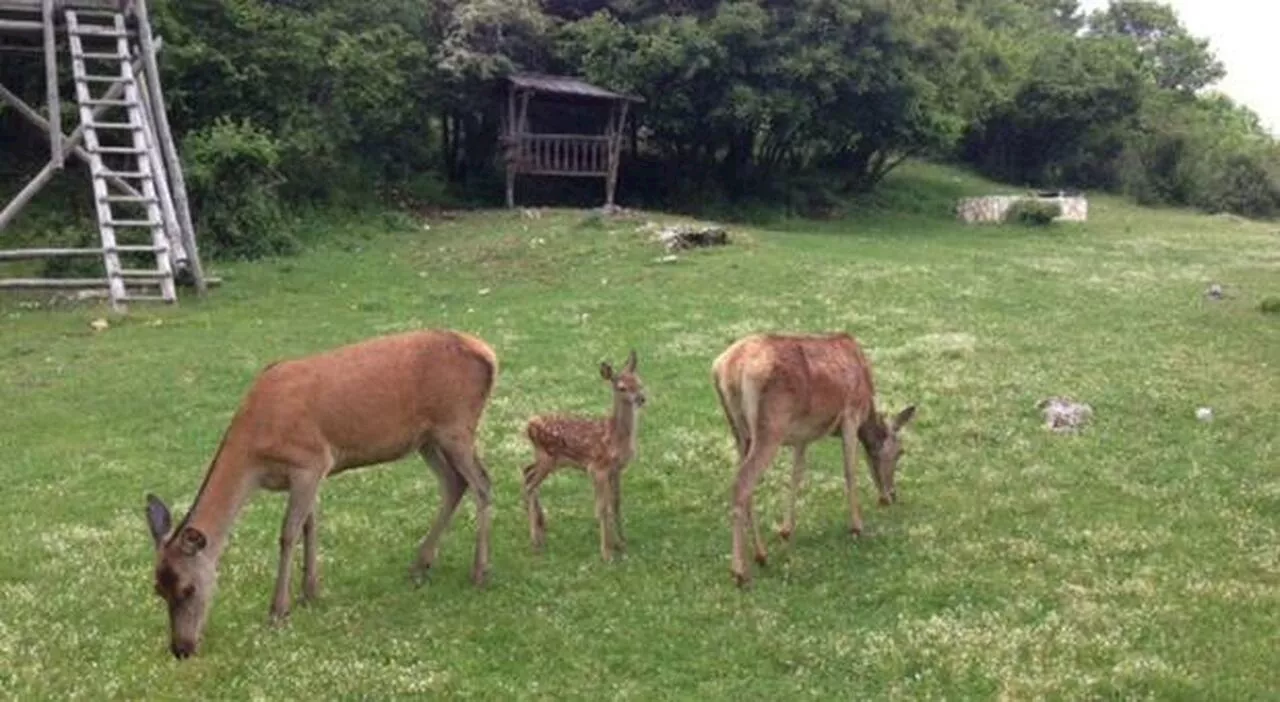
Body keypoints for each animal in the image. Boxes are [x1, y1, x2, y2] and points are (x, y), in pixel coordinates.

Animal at [142, 327, 496, 655]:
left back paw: (479, 572)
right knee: (455, 483)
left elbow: (288, 533)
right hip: (428, 439)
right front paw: (310, 592)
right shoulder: (310, 474)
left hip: (456, 425)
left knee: (482, 483)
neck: (255, 454)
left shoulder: (310, 461)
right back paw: (420, 565)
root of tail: (488, 353)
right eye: (158, 589)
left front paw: (278, 610)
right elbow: (310, 525)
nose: (181, 649)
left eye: (188, 588)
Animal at [519, 353, 645, 561]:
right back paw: (535, 540)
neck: (615, 436)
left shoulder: (616, 469)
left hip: (548, 459)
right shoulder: (597, 468)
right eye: (622, 387)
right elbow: (602, 508)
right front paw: (606, 552)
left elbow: (616, 503)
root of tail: (528, 425)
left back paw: (541, 525)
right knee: (530, 485)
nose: (641, 398)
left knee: (526, 471)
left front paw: (621, 542)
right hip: (547, 458)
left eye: (640, 382)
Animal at [711, 335, 911, 586]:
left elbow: (796, 475)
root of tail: (727, 367)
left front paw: (786, 530)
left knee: (746, 483)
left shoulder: (802, 436)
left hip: (739, 432)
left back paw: (761, 554)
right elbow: (849, 470)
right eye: (900, 452)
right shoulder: (850, 414)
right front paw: (857, 526)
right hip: (771, 427)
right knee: (742, 482)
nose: (891, 495)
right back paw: (740, 572)